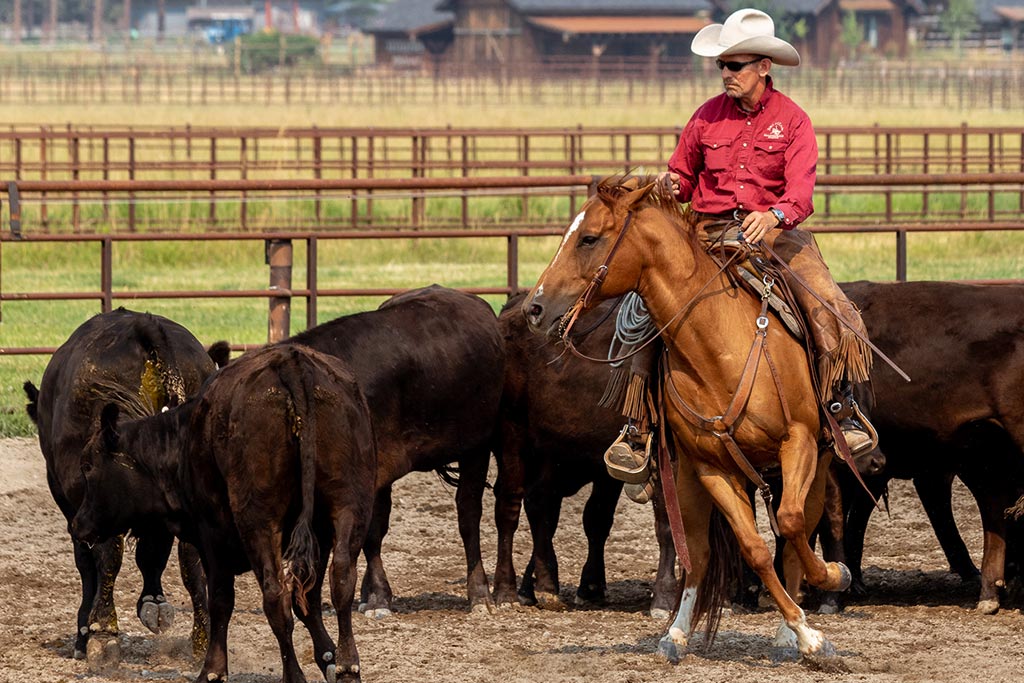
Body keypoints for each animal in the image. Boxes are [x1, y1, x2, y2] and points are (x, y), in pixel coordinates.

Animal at [23, 309, 228, 667]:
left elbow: (89, 563)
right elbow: (154, 552)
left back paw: (104, 633)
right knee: (192, 557)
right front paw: (153, 600)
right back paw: (202, 639)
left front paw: (86, 631)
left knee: (109, 551)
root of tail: (142, 325)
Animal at [70, 344, 378, 683]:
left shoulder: (211, 534)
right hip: (349, 503)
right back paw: (349, 666)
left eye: (88, 465)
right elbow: (307, 599)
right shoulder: (319, 533)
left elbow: (219, 600)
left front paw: (213, 669)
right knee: (341, 579)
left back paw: (294, 674)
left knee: (275, 595)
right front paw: (328, 657)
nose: (78, 524)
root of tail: (291, 362)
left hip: (259, 520)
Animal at [520, 176, 847, 663]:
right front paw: (804, 629)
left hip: (818, 461)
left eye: (589, 238)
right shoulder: (713, 467)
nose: (535, 309)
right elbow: (753, 549)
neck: (719, 346)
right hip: (687, 479)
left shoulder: (800, 441)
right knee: (698, 552)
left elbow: (790, 524)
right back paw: (676, 632)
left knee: (797, 528)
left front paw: (823, 595)